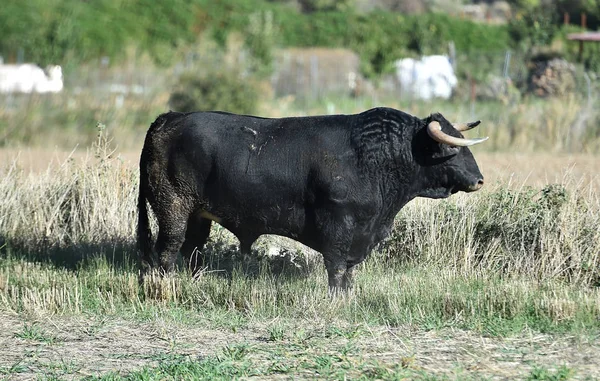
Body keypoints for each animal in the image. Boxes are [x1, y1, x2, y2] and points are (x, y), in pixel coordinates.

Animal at [137, 107, 488, 290]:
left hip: (199, 215)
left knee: (192, 250)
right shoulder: (338, 225)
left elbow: (348, 272)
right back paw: (166, 287)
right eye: (450, 147)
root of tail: (170, 118)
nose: (479, 179)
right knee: (168, 250)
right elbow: (336, 267)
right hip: (173, 207)